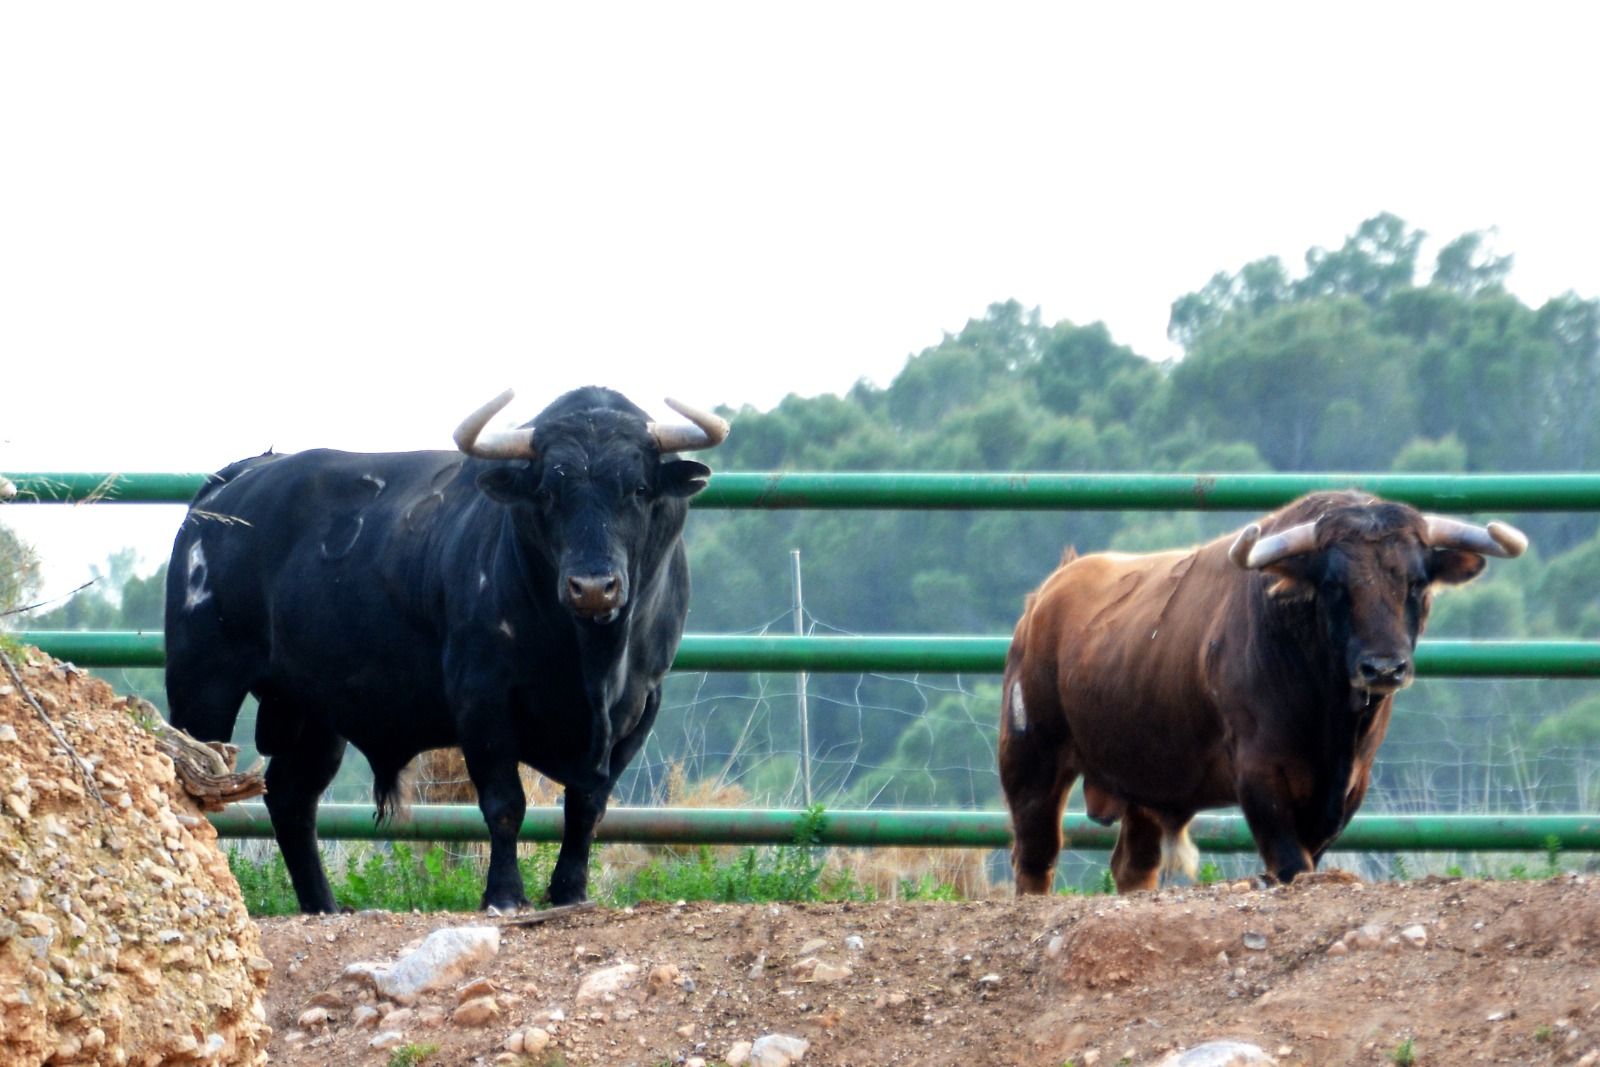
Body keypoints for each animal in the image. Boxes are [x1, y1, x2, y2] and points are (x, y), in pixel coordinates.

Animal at [165, 388, 729, 915]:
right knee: (191, 778)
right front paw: (504, 893)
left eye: (638, 489)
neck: (592, 660)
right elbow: (505, 803)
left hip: (314, 709)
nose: (593, 587)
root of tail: (236, 478)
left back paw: (322, 904)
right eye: (548, 491)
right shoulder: (483, 699)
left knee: (292, 798)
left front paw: (570, 891)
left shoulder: (638, 707)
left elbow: (587, 807)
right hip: (203, 680)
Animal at [992, 492, 1529, 895]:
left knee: (1133, 866)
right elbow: (1291, 864)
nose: (1383, 667)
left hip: (1143, 781)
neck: (1332, 719)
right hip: (1031, 760)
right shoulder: (1260, 777)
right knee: (1035, 858)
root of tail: (1046, 596)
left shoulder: (1346, 791)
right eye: (1334, 584)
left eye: (1416, 582)